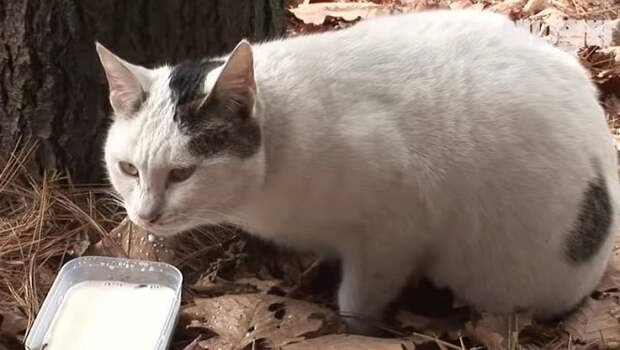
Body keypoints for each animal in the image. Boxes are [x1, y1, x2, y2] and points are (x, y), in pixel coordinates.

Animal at [94, 9, 616, 334]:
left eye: (183, 173)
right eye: (128, 169)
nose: (145, 215)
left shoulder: (396, 228)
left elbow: (359, 297)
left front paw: (355, 329)